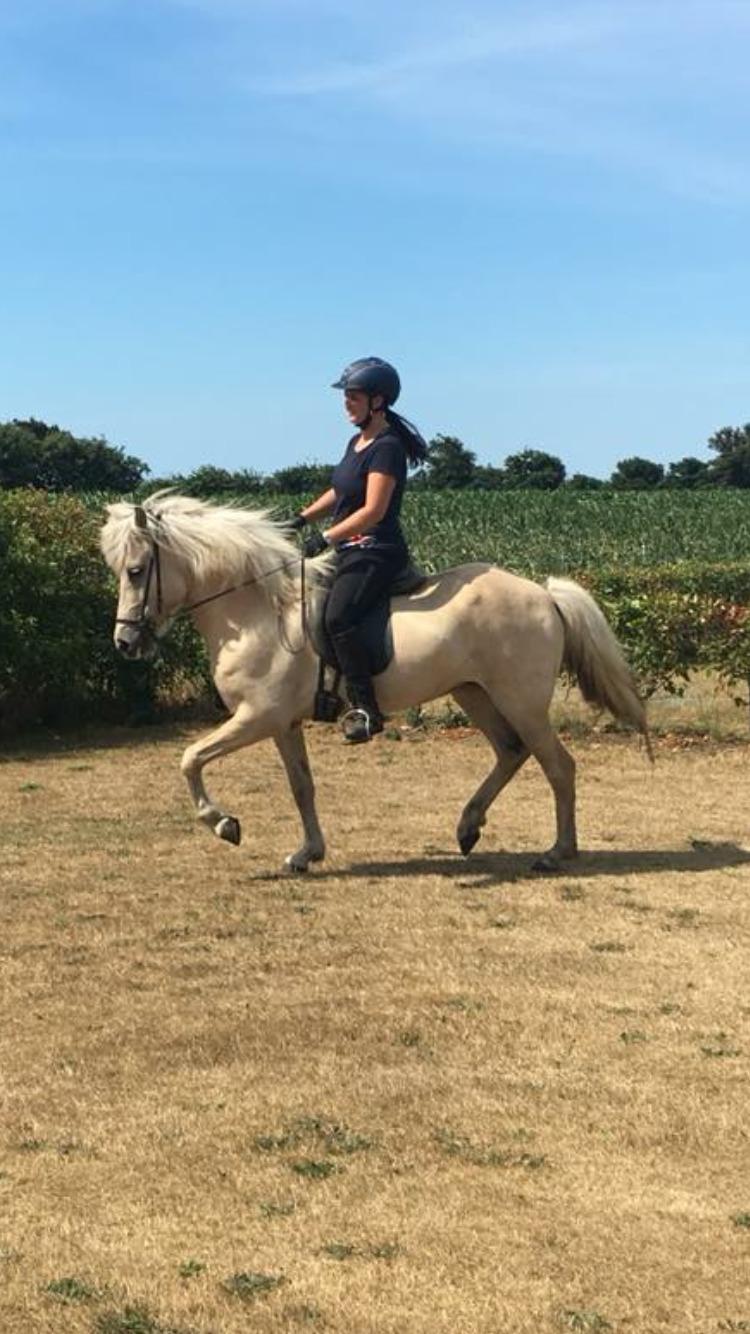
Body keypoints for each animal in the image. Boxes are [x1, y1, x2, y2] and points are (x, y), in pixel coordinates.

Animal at [100, 496, 648, 869]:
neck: (258, 612)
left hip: (522, 701)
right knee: (511, 752)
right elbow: (302, 786)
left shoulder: (257, 717)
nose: (124, 643)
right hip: (474, 693)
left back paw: (557, 852)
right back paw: (468, 828)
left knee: (558, 766)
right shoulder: (282, 724)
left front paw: (224, 824)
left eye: (137, 570)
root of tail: (544, 592)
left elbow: (190, 758)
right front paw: (307, 853)